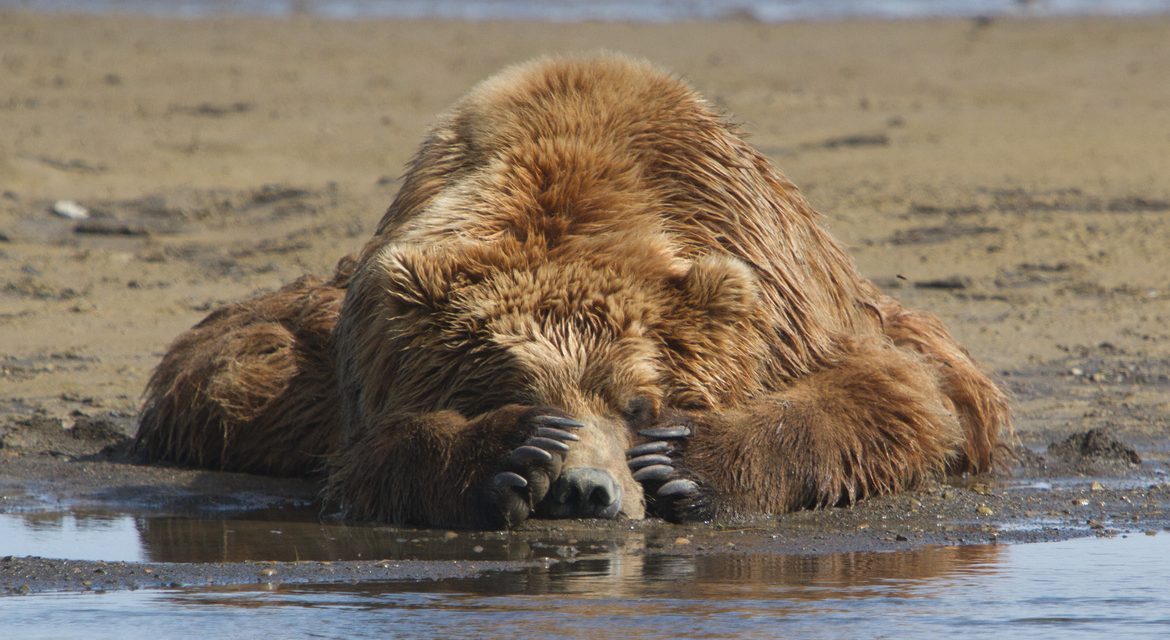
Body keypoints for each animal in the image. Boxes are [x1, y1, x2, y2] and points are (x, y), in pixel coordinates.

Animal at [135, 54, 1011, 529]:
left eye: (641, 401)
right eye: (507, 385)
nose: (585, 490)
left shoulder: (783, 300)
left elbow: (893, 398)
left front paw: (688, 465)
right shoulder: (373, 352)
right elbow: (371, 455)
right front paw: (504, 455)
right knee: (235, 369)